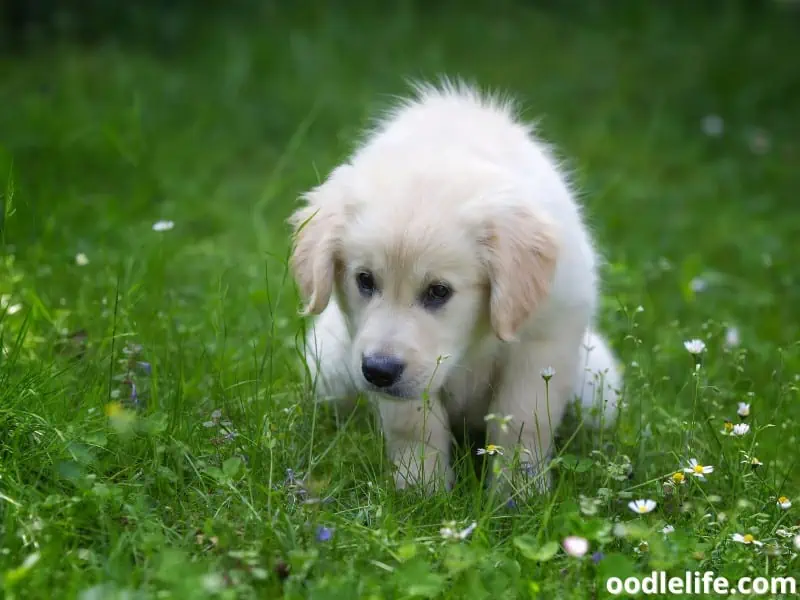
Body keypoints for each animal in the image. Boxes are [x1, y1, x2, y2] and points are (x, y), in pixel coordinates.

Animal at [290, 79, 620, 492]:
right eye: (364, 280)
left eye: (439, 291)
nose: (378, 371)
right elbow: (413, 425)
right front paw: (421, 489)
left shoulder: (544, 341)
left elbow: (523, 421)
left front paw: (518, 492)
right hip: (329, 367)